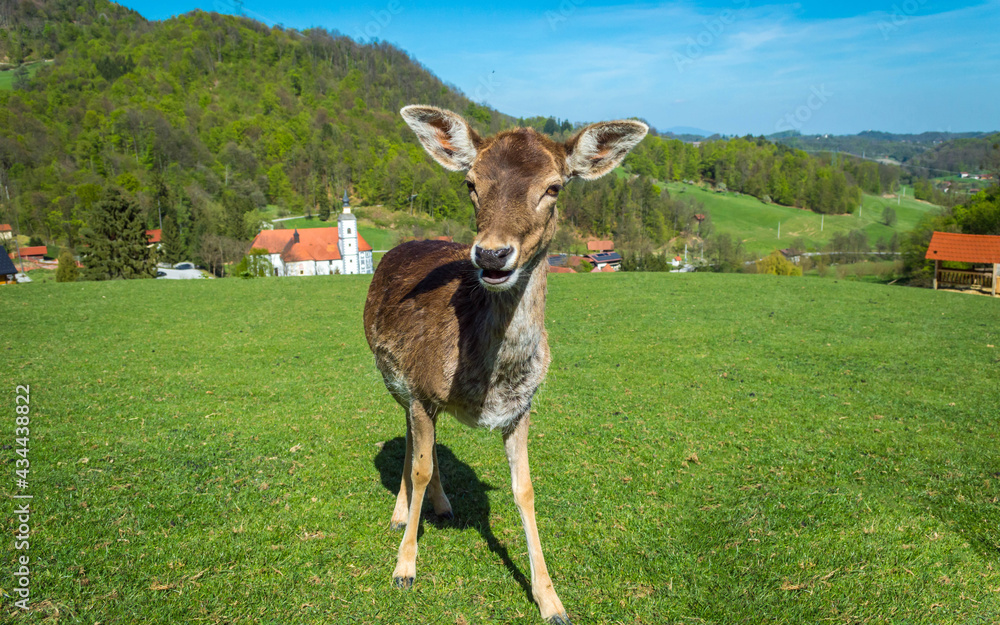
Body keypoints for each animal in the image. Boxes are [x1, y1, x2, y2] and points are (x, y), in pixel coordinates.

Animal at [363, 105, 647, 624]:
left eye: (554, 187)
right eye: (470, 183)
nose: (492, 253)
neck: (488, 380)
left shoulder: (522, 409)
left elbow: (525, 489)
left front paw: (551, 599)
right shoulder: (420, 388)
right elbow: (418, 467)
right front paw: (404, 568)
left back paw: (442, 505)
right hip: (394, 380)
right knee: (411, 439)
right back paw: (401, 513)